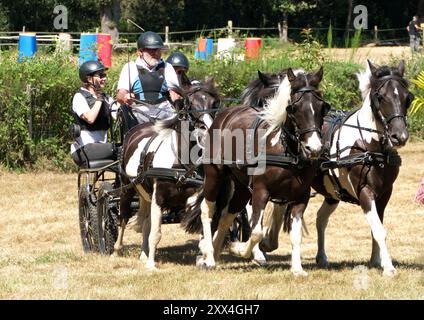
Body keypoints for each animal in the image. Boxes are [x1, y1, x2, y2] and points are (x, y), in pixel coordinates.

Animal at [114, 78, 224, 270]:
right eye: (189, 104)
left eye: (214, 103)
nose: (208, 130)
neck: (180, 164)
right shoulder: (158, 197)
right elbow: (156, 233)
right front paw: (151, 264)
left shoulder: (199, 193)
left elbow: (204, 219)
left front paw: (207, 257)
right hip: (127, 187)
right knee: (124, 216)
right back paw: (116, 250)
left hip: (145, 193)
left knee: (145, 220)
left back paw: (143, 253)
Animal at [182, 67, 332, 276]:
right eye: (294, 107)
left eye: (322, 106)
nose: (315, 148)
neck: (285, 147)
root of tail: (224, 115)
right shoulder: (261, 192)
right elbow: (256, 231)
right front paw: (241, 249)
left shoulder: (300, 196)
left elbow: (295, 235)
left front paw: (297, 269)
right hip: (214, 176)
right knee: (208, 209)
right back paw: (209, 256)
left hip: (242, 187)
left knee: (228, 215)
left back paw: (217, 250)